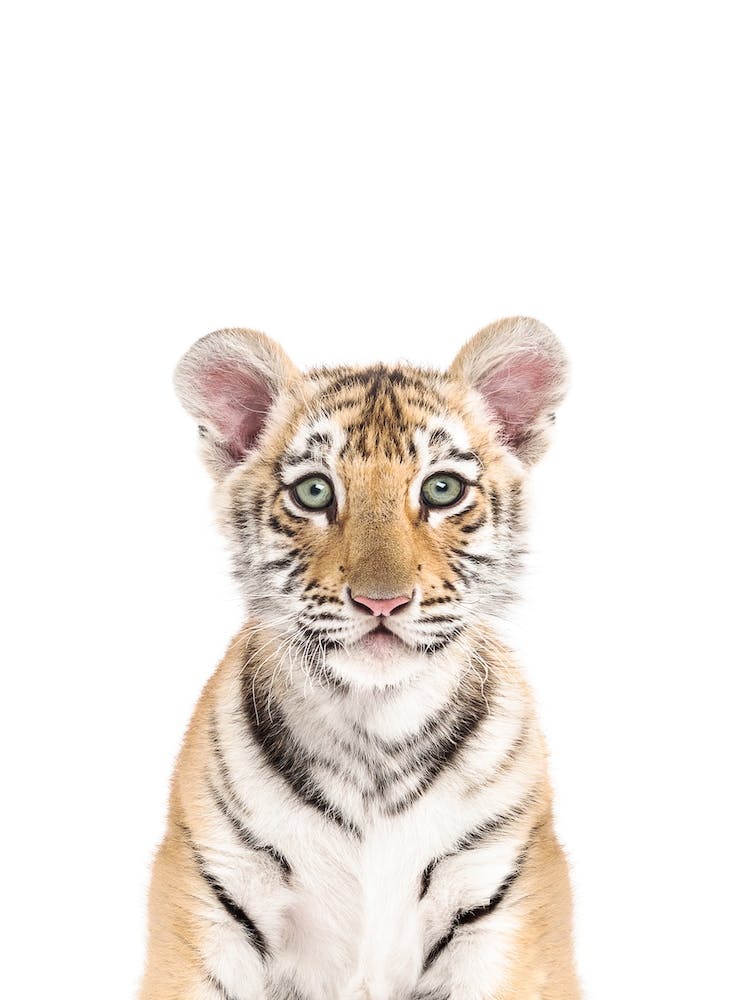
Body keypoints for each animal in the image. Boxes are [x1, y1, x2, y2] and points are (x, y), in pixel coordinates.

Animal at [139, 316, 581, 1000]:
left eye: (442, 489)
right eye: (314, 491)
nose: (382, 600)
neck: (376, 729)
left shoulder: (503, 902)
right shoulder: (212, 893)